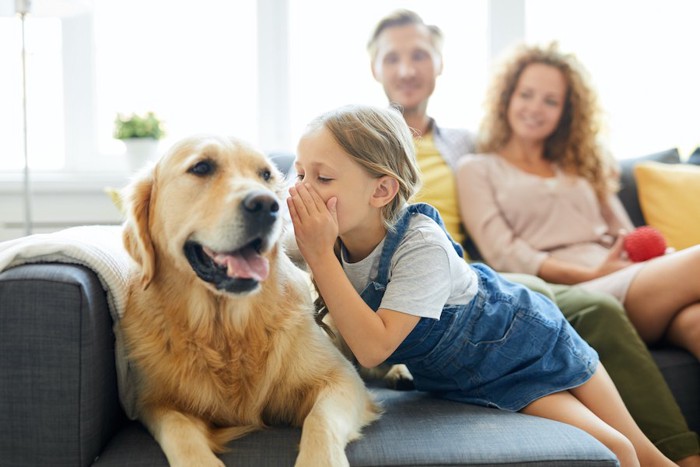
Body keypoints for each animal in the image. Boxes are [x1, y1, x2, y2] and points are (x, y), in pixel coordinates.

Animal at [123, 135, 380, 467]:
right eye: (201, 167)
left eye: (266, 175)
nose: (266, 205)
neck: (226, 330)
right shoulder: (156, 402)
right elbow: (179, 432)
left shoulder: (341, 378)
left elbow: (320, 420)